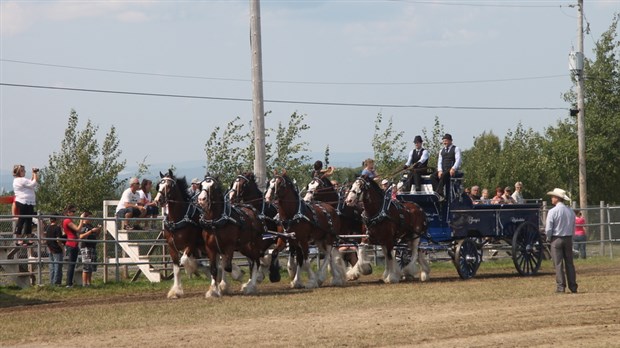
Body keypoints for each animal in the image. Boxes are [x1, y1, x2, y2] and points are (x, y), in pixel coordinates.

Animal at [153, 170, 206, 298]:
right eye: (159, 185)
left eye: (168, 186)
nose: (158, 200)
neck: (177, 219)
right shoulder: (172, 247)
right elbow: (176, 268)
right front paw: (176, 291)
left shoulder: (191, 244)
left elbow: (184, 260)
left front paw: (190, 269)